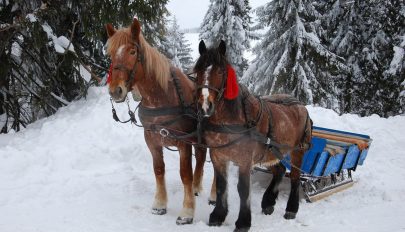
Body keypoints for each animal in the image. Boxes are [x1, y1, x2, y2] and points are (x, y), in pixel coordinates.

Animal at [105, 19, 216, 226]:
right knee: (201, 157)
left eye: (132, 51)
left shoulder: (183, 142)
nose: (115, 90)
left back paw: (213, 195)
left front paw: (187, 212)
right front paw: (159, 204)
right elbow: (158, 170)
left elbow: (185, 174)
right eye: (110, 53)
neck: (162, 97)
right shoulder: (152, 139)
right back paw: (197, 187)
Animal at [194, 40, 310, 231]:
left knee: (294, 177)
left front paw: (243, 222)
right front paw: (218, 216)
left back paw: (291, 209)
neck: (232, 119)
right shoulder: (218, 156)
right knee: (279, 171)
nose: (205, 105)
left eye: (220, 71)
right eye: (198, 71)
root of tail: (300, 105)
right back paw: (268, 203)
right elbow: (221, 186)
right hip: (272, 152)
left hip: (297, 151)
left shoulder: (245, 160)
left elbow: (243, 189)